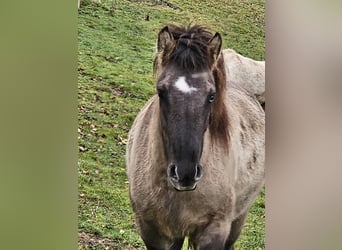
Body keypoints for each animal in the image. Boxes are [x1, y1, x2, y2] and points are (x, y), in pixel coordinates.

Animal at [125, 23, 264, 250]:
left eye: (211, 96)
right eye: (161, 91)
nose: (186, 173)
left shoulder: (213, 231)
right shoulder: (151, 230)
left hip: (238, 219)